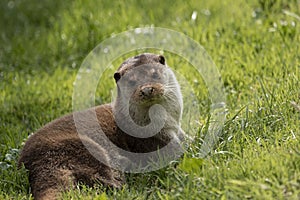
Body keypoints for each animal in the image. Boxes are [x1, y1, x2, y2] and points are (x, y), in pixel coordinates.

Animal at [18, 53, 185, 200]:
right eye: (132, 82)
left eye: (155, 74)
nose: (146, 89)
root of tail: (33, 162)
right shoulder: (154, 141)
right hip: (84, 148)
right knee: (105, 181)